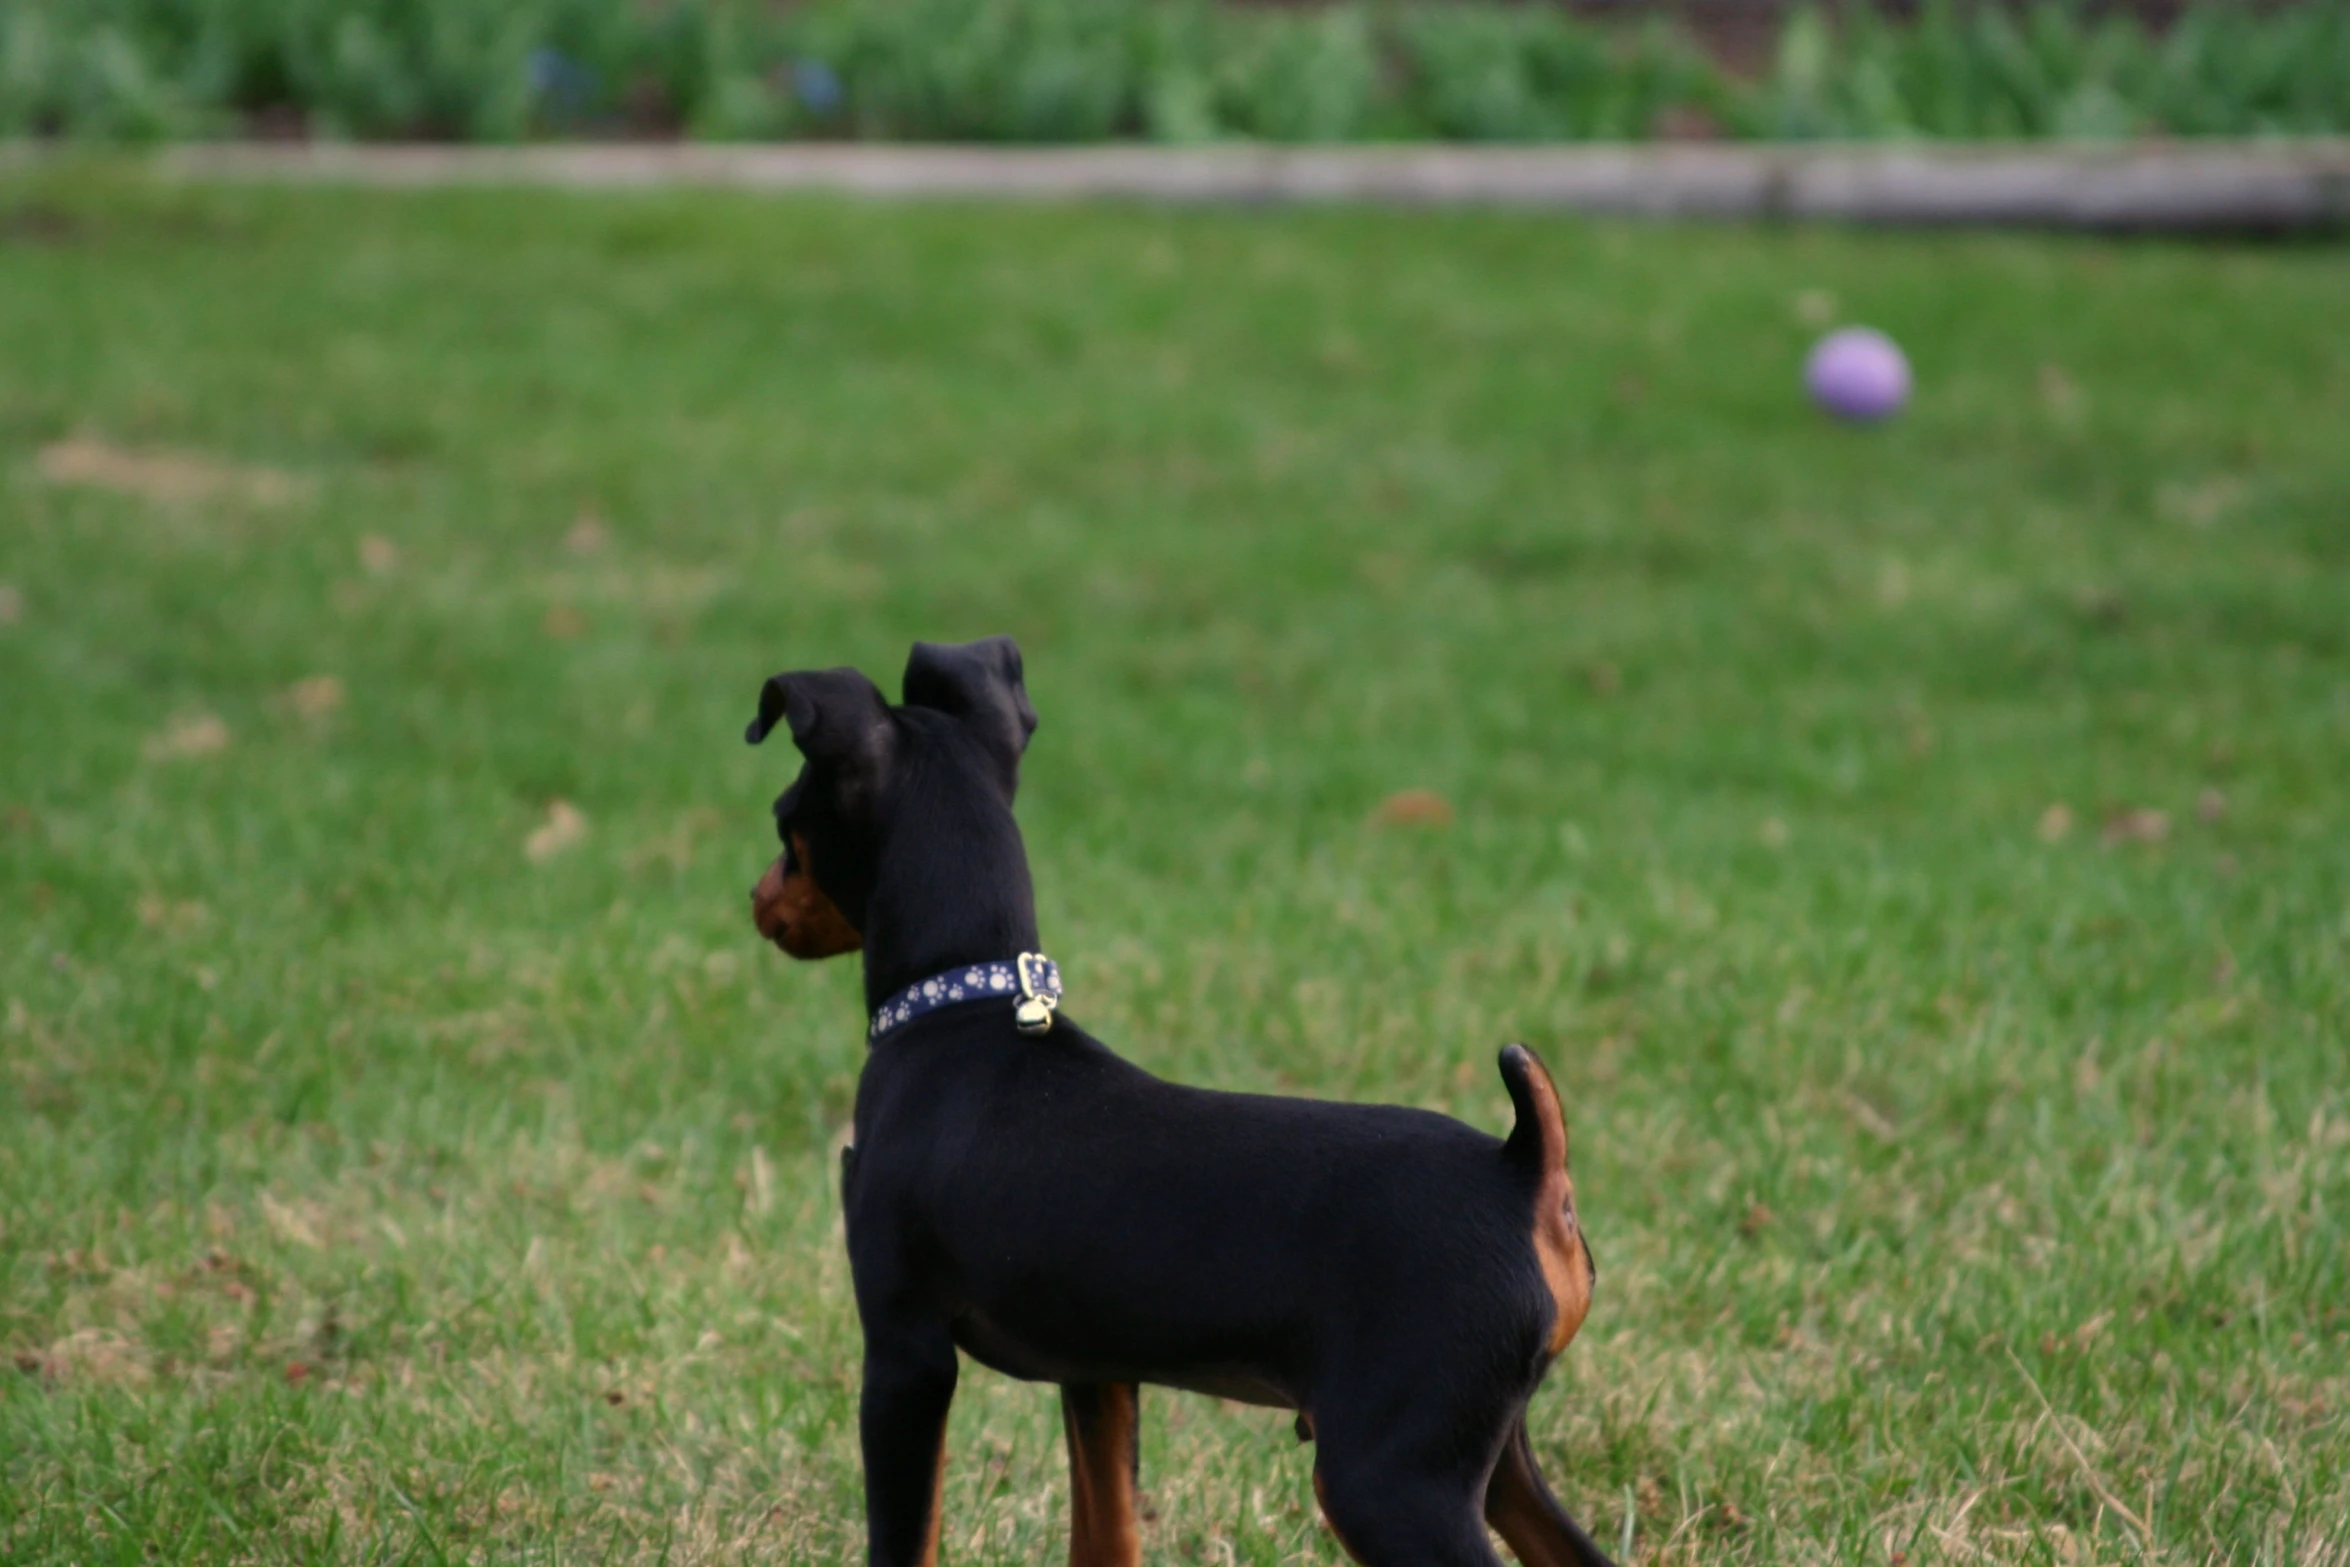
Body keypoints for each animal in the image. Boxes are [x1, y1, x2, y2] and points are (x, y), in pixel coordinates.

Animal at [747, 639, 1616, 1567]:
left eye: (785, 823)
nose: (757, 898)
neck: (964, 1006)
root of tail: (1523, 1169)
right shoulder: (1097, 1372)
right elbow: (1106, 1531)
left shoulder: (904, 1350)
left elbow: (903, 1537)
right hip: (1489, 1452)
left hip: (1388, 1475)